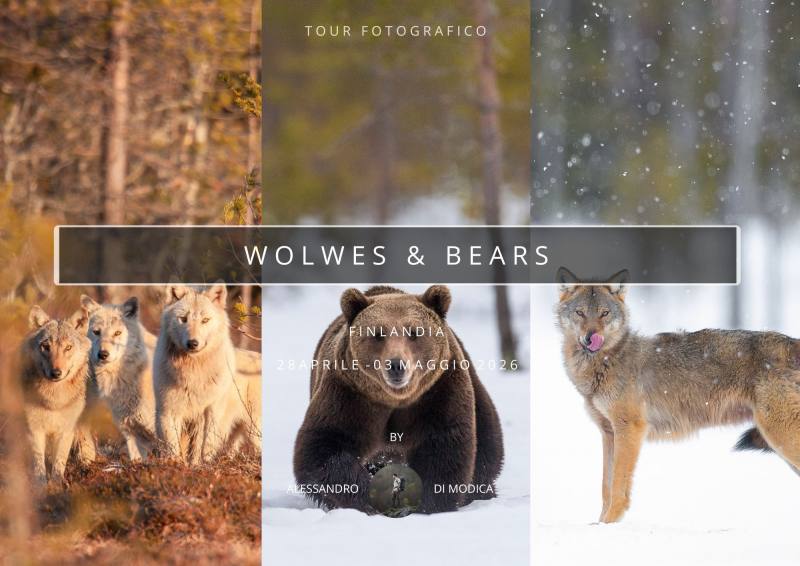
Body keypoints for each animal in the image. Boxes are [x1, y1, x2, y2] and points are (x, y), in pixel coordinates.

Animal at [20, 306, 91, 484]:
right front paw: (40, 487)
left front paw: (57, 485)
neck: (54, 400)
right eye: (46, 346)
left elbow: (59, 463)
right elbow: (38, 465)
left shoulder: (66, 431)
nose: (56, 373)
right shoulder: (34, 429)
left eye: (68, 348)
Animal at [153, 284, 261, 464]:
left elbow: (203, 446)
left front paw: (200, 466)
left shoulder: (209, 411)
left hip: (253, 430)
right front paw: (176, 465)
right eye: (183, 319)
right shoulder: (169, 411)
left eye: (205, 320)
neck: (193, 372)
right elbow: (173, 446)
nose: (193, 343)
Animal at [293, 285, 504, 514]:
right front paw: (372, 495)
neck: (395, 399)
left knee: (488, 446)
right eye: (378, 334)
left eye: (414, 332)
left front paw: (426, 503)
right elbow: (323, 447)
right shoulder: (350, 395)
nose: (396, 364)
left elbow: (444, 447)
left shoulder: (438, 392)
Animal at [556, 267, 800, 523]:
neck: (606, 361)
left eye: (604, 313)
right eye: (580, 313)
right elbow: (605, 487)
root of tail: (793, 343)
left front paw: (610, 523)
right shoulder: (609, 433)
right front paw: (600, 524)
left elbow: (618, 488)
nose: (591, 337)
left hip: (780, 436)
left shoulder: (630, 429)